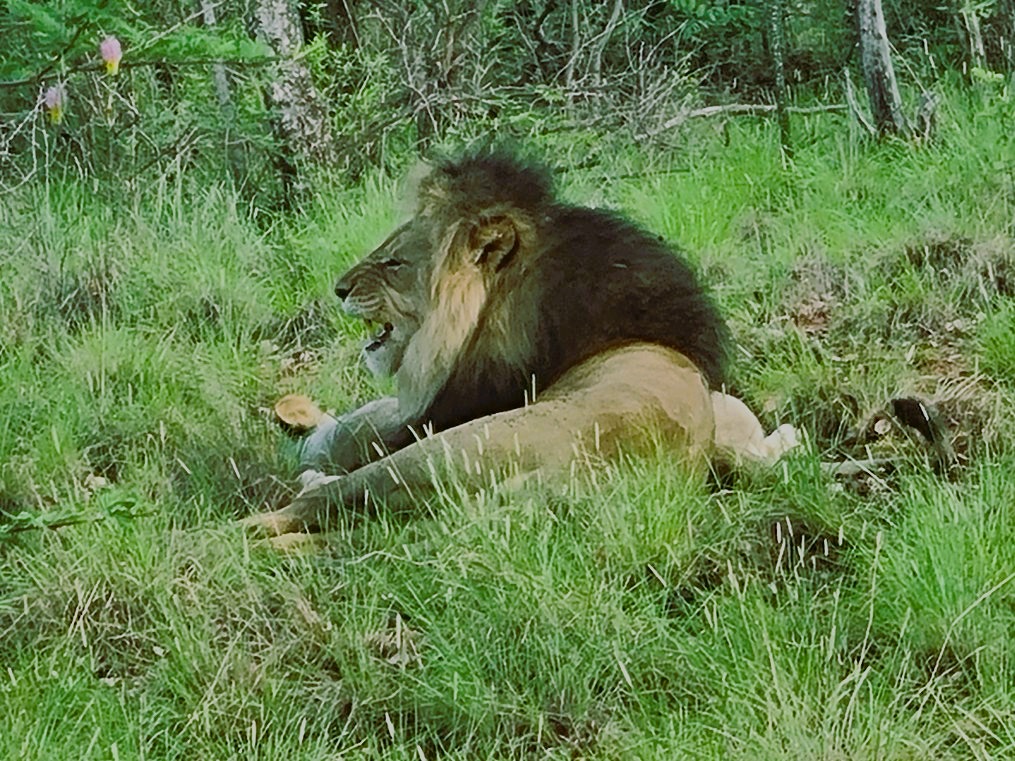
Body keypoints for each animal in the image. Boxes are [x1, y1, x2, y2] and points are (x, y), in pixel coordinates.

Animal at [243, 144, 791, 535]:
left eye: (393, 261)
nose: (338, 289)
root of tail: (558, 486)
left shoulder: (435, 415)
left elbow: (359, 424)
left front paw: (311, 440)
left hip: (442, 450)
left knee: (313, 503)